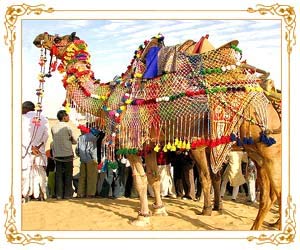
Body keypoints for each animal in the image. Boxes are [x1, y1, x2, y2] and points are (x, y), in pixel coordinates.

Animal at [32, 31, 282, 230]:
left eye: (58, 38)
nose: (38, 37)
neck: (110, 97)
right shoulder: (150, 145)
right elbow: (153, 177)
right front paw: (159, 209)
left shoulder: (132, 143)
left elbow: (141, 179)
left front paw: (142, 216)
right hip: (254, 148)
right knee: (268, 190)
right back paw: (260, 224)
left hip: (268, 147)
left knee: (275, 187)